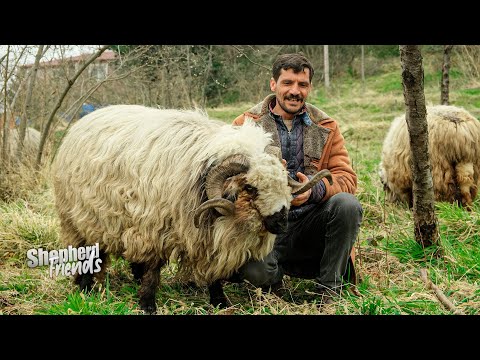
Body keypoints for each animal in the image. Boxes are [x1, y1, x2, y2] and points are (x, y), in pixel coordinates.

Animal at [51, 104, 330, 312]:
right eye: (250, 188)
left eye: (283, 181)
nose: (281, 222)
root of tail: (85, 119)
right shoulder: (155, 226)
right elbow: (154, 269)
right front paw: (147, 304)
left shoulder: (205, 237)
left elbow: (213, 273)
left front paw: (219, 302)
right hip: (81, 219)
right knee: (89, 253)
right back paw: (86, 289)